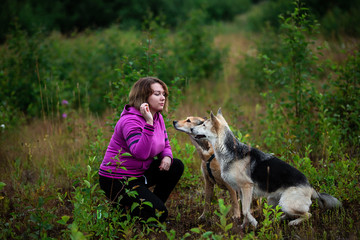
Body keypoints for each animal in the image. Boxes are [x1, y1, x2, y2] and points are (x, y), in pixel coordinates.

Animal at [190, 109, 342, 228]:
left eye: (203, 124)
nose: (191, 129)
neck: (230, 151)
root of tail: (311, 188)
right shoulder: (241, 191)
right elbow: (244, 210)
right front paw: (244, 227)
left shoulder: (247, 187)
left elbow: (245, 211)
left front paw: (254, 223)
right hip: (273, 200)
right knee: (285, 214)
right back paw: (275, 220)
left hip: (286, 203)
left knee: (307, 214)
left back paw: (293, 222)